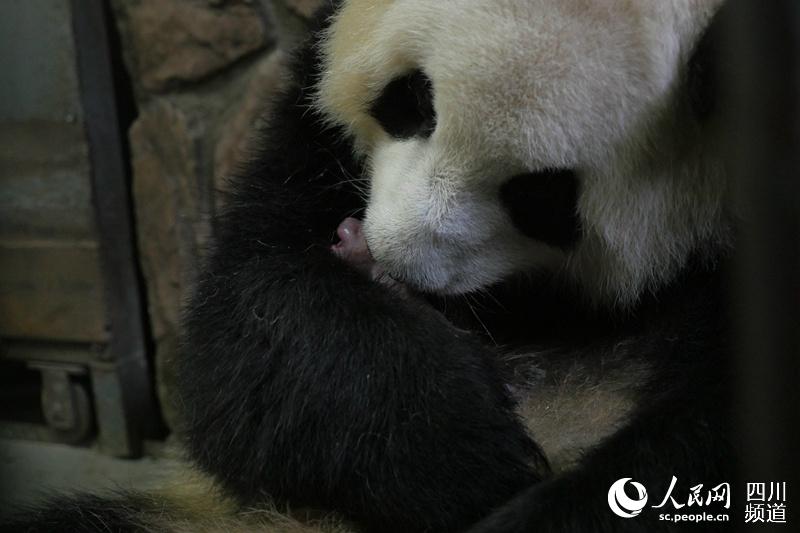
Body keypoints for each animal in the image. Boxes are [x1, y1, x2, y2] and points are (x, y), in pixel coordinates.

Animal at [5, 0, 750, 531]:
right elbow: (249, 320)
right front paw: (461, 445)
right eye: (412, 100)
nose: (388, 254)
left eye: (541, 197)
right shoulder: (310, 125)